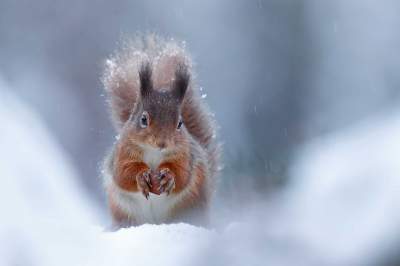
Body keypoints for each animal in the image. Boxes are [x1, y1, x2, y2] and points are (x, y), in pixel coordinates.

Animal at [100, 34, 219, 228]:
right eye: (143, 119)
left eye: (180, 123)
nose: (162, 143)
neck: (154, 153)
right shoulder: (123, 153)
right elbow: (123, 174)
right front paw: (141, 176)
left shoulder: (186, 155)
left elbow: (182, 174)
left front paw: (168, 176)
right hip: (125, 212)